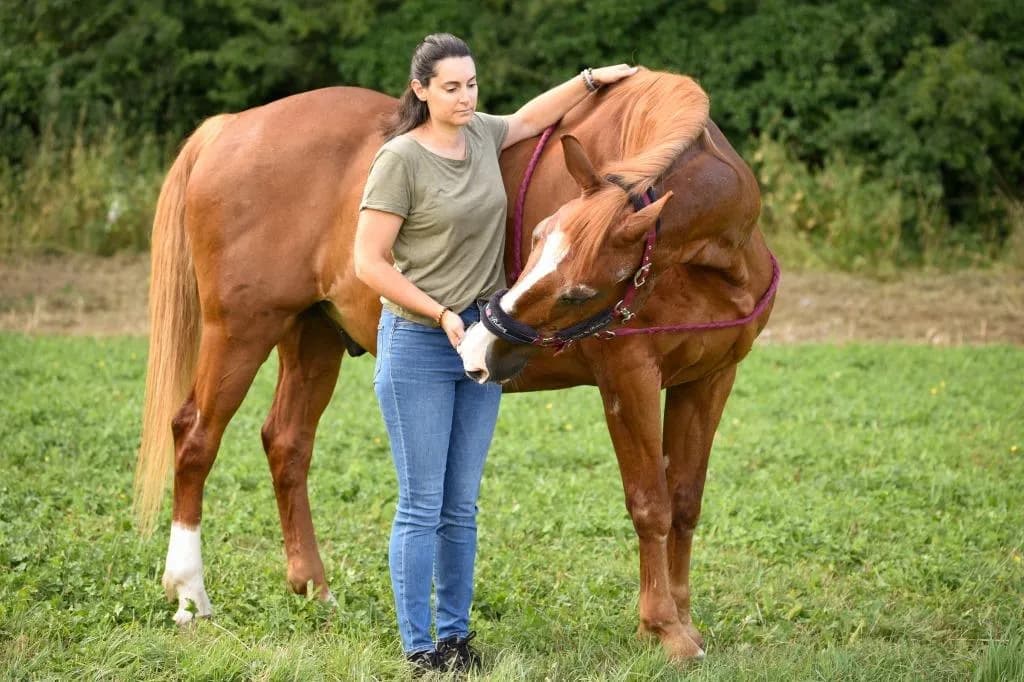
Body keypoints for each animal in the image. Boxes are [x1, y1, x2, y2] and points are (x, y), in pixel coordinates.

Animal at [135, 67, 775, 662]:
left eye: (578, 292)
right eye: (536, 237)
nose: (483, 347)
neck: (709, 262)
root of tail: (230, 128)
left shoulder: (710, 379)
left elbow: (685, 502)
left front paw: (684, 618)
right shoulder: (629, 378)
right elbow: (651, 504)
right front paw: (664, 629)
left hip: (311, 335)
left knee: (286, 443)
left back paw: (315, 589)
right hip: (241, 331)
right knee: (195, 436)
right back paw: (189, 593)